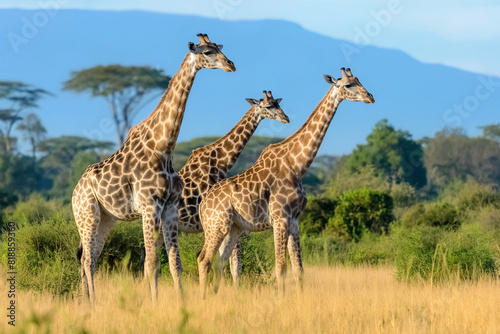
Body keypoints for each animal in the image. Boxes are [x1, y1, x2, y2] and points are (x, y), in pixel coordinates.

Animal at [72, 34, 236, 302]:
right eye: (208, 52)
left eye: (219, 48)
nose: (230, 65)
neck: (163, 146)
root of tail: (75, 192)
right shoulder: (150, 206)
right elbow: (151, 263)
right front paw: (154, 303)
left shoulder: (169, 209)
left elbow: (175, 263)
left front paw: (182, 302)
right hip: (87, 214)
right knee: (86, 259)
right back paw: (93, 303)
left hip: (107, 218)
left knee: (91, 257)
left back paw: (86, 302)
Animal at [178, 90, 292, 284]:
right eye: (268, 106)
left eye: (278, 103)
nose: (286, 118)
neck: (219, 162)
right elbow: (232, 263)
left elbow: (231, 263)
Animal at [199, 68, 376, 298]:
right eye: (348, 85)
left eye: (359, 80)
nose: (370, 97)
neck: (297, 165)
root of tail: (202, 206)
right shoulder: (280, 218)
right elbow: (281, 266)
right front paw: (280, 299)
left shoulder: (294, 220)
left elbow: (298, 268)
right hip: (216, 225)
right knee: (204, 259)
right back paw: (203, 298)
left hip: (234, 227)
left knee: (220, 262)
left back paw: (214, 296)